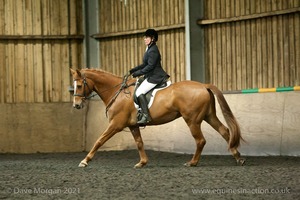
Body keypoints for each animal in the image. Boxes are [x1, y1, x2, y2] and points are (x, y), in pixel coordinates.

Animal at [71, 68, 246, 168]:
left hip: (192, 120)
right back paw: (238, 158)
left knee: (201, 140)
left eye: (79, 86)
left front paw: (85, 161)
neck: (118, 93)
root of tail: (203, 85)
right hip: (208, 116)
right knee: (225, 131)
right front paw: (142, 162)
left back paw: (192, 163)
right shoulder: (133, 125)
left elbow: (99, 140)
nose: (76, 105)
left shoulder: (116, 125)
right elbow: (139, 143)